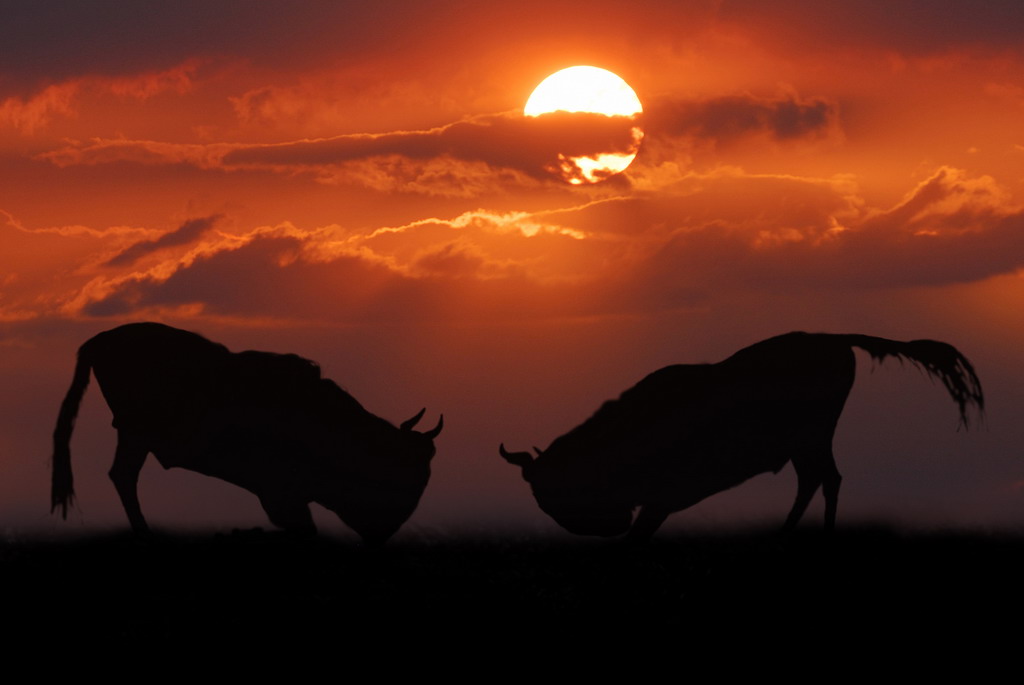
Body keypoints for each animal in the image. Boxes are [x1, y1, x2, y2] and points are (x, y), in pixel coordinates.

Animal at [51, 321, 442, 544]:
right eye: (405, 470)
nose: (386, 529)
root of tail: (100, 340)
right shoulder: (281, 493)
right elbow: (304, 529)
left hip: (133, 436)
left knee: (122, 475)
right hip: (135, 433)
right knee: (124, 476)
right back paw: (145, 534)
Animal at [501, 331, 983, 540]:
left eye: (549, 490)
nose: (602, 528)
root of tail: (835, 340)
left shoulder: (661, 498)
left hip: (812, 435)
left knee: (826, 479)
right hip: (805, 442)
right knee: (817, 478)